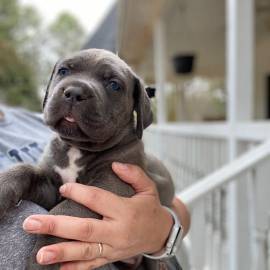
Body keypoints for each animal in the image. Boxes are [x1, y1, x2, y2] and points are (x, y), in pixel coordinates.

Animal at [0, 49, 174, 270]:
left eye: (114, 85)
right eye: (63, 71)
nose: (74, 92)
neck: (77, 148)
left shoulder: (110, 185)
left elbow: (65, 210)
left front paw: (44, 256)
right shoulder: (51, 187)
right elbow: (24, 171)